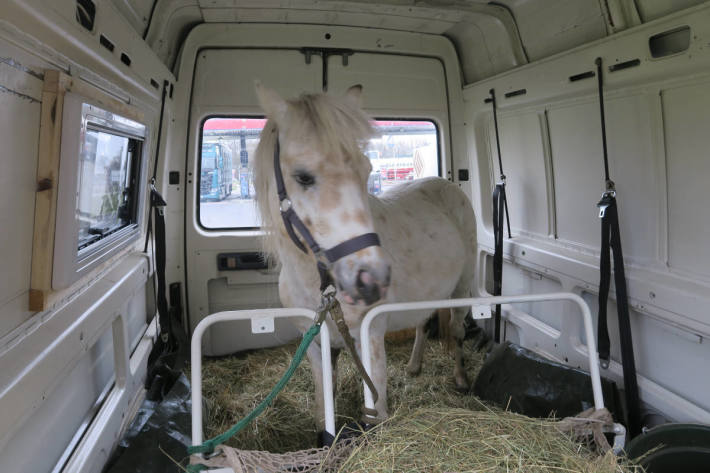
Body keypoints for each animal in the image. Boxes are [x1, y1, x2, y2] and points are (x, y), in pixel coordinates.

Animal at [252, 83, 478, 430]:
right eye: (302, 177)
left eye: (367, 169)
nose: (371, 279)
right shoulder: (314, 344)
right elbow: (324, 402)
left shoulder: (370, 338)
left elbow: (377, 408)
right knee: (422, 324)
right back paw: (414, 366)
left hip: (462, 290)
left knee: (456, 331)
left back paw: (462, 379)